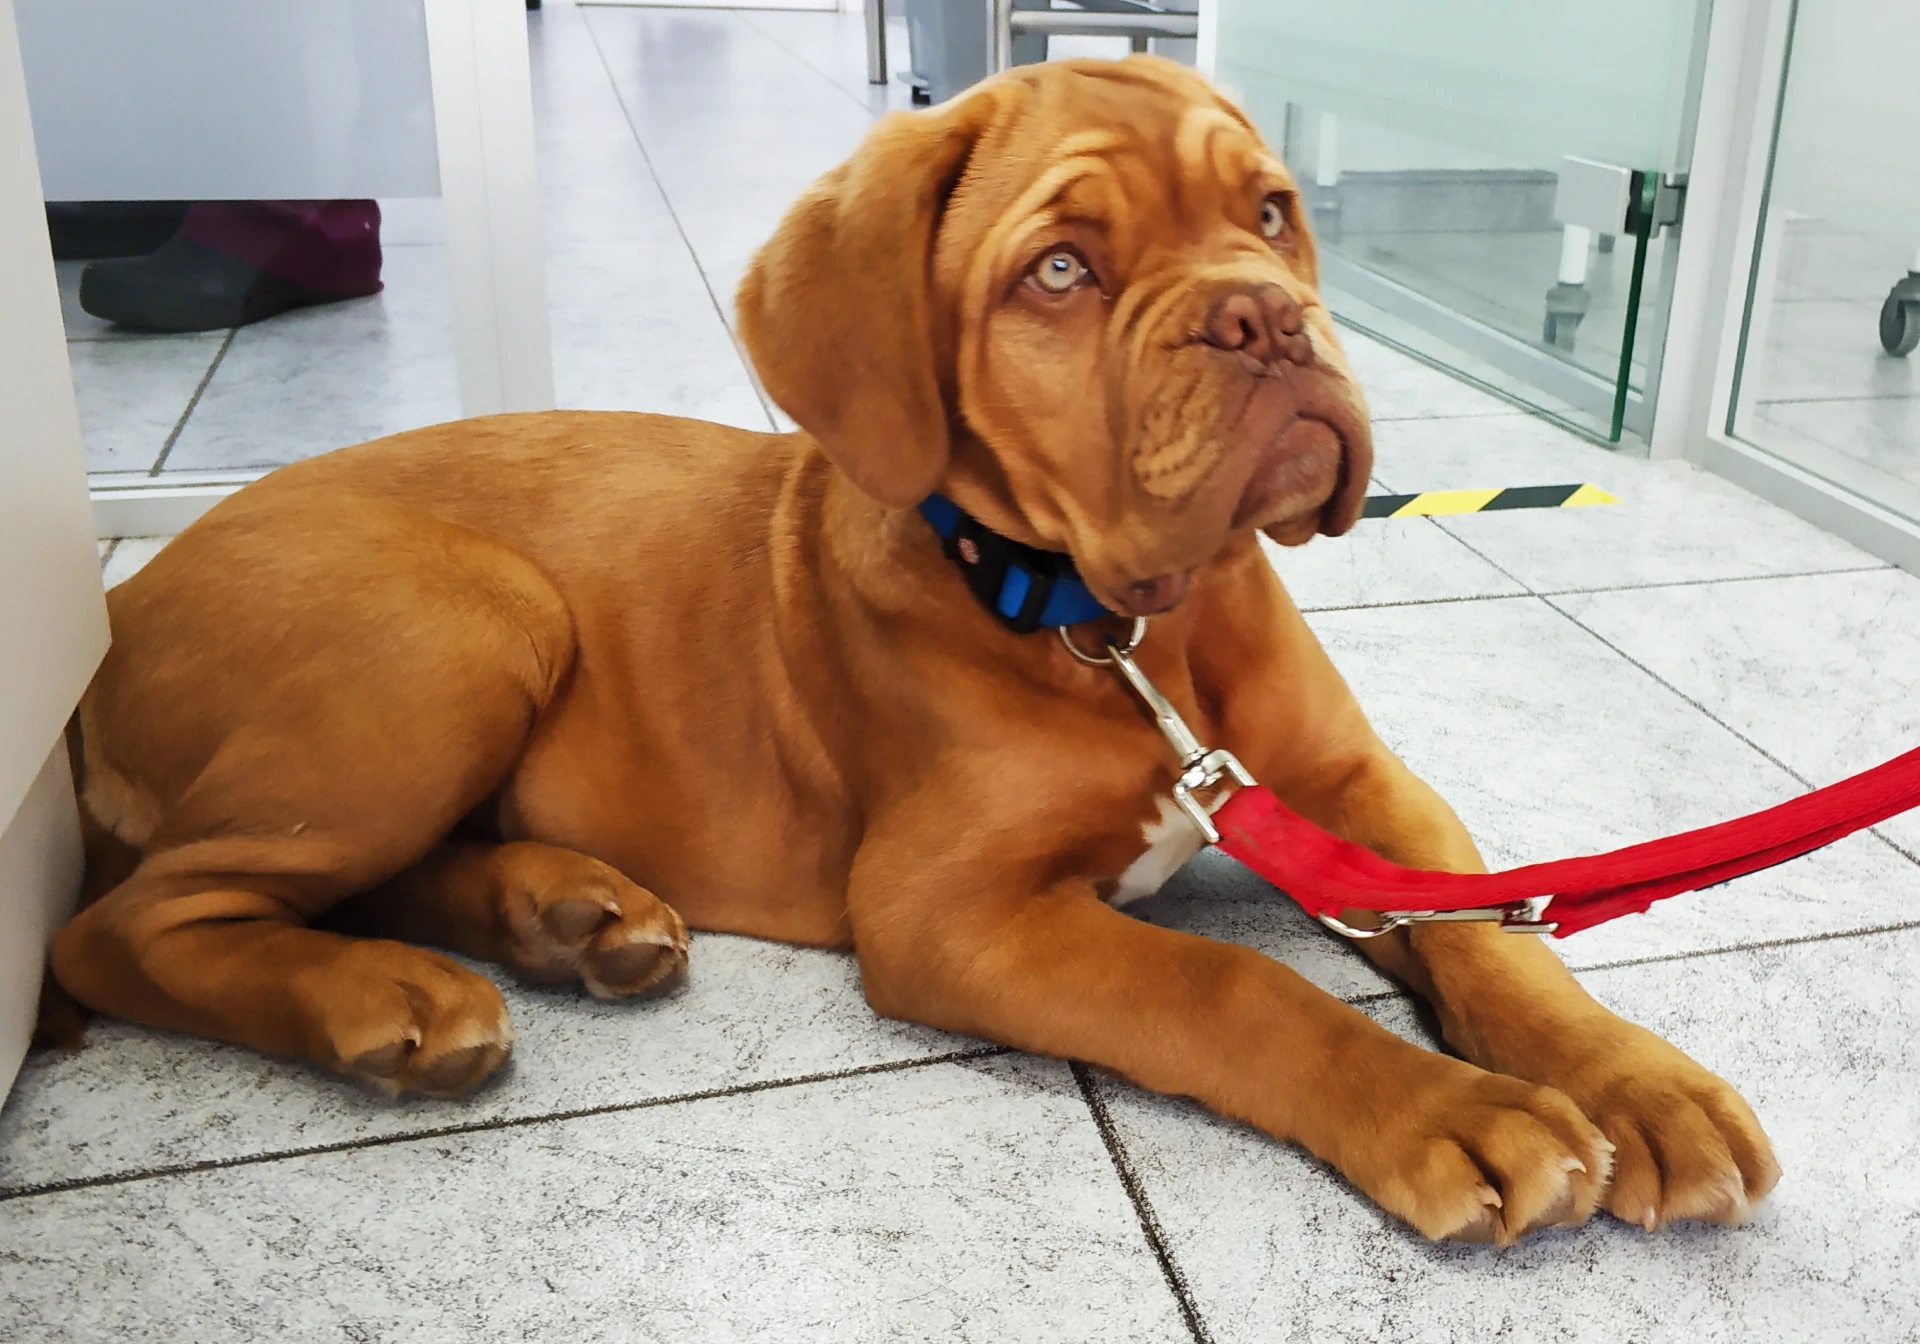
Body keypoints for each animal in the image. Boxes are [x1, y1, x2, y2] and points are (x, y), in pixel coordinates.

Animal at [50, 57, 1776, 1245]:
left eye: (1273, 214)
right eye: (1061, 270)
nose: (1265, 320)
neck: (1124, 627)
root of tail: (113, 617)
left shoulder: (1354, 787)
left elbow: (1489, 926)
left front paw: (1633, 1076)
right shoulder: (950, 913)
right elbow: (1234, 993)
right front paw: (1456, 1111)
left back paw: (564, 917)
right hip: (462, 626)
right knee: (124, 927)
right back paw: (386, 1000)